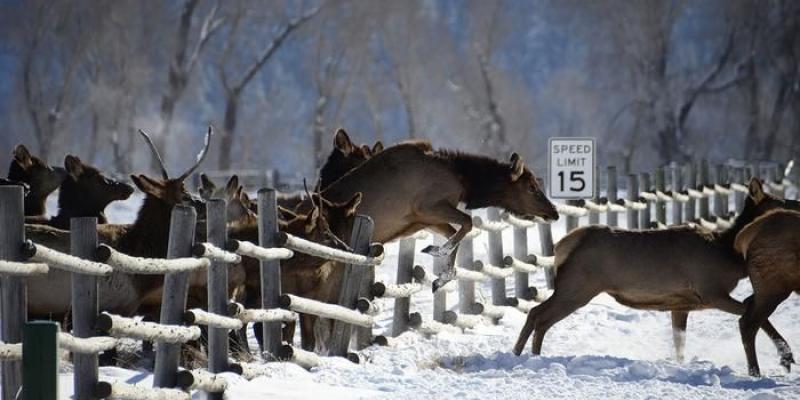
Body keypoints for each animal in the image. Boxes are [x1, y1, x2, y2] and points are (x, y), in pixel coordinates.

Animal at [512, 178, 792, 372]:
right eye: (781, 203)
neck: (729, 255)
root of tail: (562, 245)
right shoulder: (711, 291)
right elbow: (753, 313)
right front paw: (786, 357)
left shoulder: (681, 304)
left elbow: (680, 343)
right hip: (578, 286)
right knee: (541, 316)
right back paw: (530, 356)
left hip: (573, 286)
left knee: (536, 313)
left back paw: (520, 354)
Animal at [736, 208, 800, 376]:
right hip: (774, 286)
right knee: (748, 322)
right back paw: (755, 372)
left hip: (768, 287)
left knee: (747, 304)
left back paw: (785, 356)